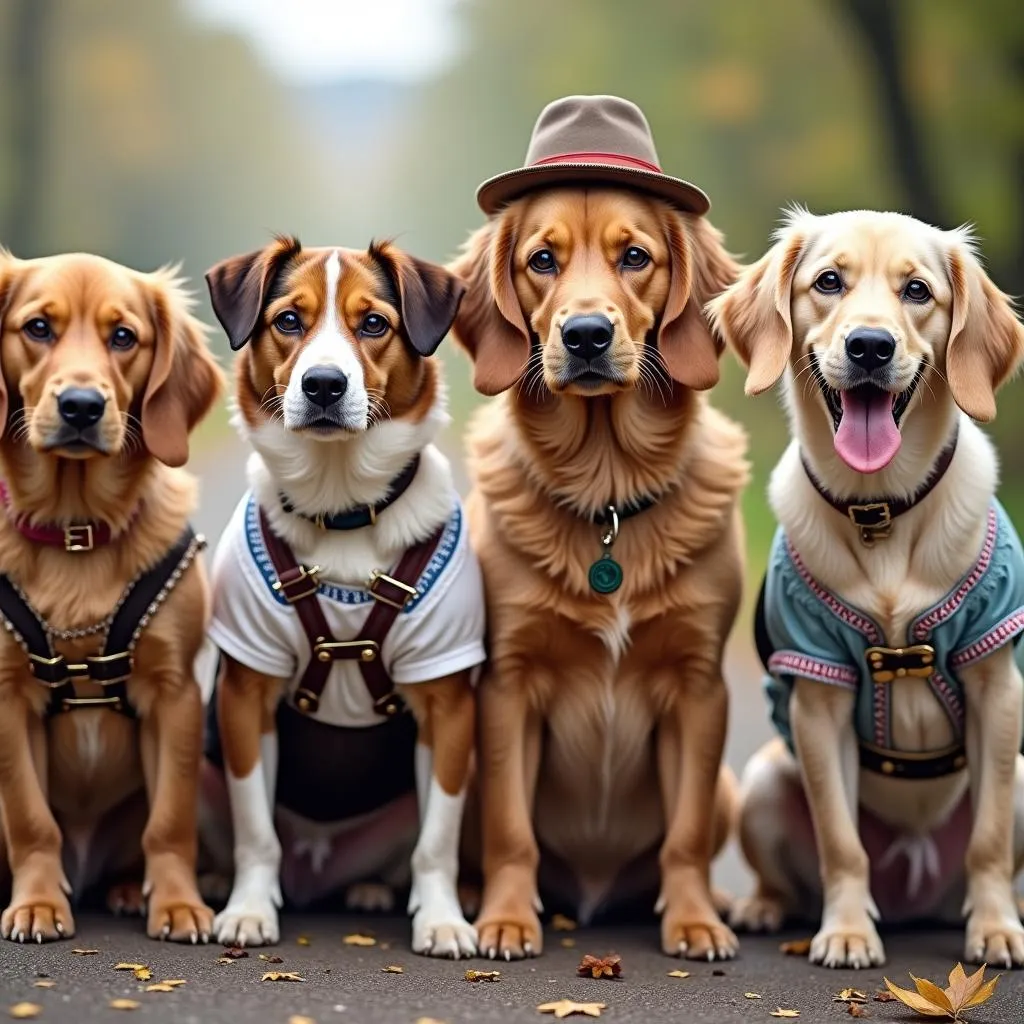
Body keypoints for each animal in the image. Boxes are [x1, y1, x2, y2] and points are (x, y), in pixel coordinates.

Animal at [0, 249, 222, 942]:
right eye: (37, 328)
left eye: (123, 337)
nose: (80, 406)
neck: (77, 532)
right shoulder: (7, 699)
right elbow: (31, 819)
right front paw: (39, 903)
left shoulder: (175, 693)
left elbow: (170, 821)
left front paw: (176, 905)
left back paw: (128, 890)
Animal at [202, 235, 483, 954]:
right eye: (288, 321)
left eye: (374, 324)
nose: (324, 384)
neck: (342, 510)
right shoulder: (244, 693)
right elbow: (256, 832)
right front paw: (249, 908)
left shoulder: (449, 706)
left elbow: (439, 841)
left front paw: (442, 919)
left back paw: (373, 890)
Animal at [452, 96, 749, 958]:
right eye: (543, 261)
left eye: (636, 257)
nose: (585, 334)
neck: (608, 488)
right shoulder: (508, 683)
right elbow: (511, 829)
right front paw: (507, 919)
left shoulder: (700, 686)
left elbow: (684, 834)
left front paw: (694, 920)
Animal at [708, 209, 1024, 966]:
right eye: (828, 282)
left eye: (917, 290)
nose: (871, 346)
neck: (881, 509)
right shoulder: (817, 692)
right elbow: (840, 841)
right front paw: (848, 931)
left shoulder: (997, 685)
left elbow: (989, 839)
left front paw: (996, 928)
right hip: (763, 781)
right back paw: (766, 908)